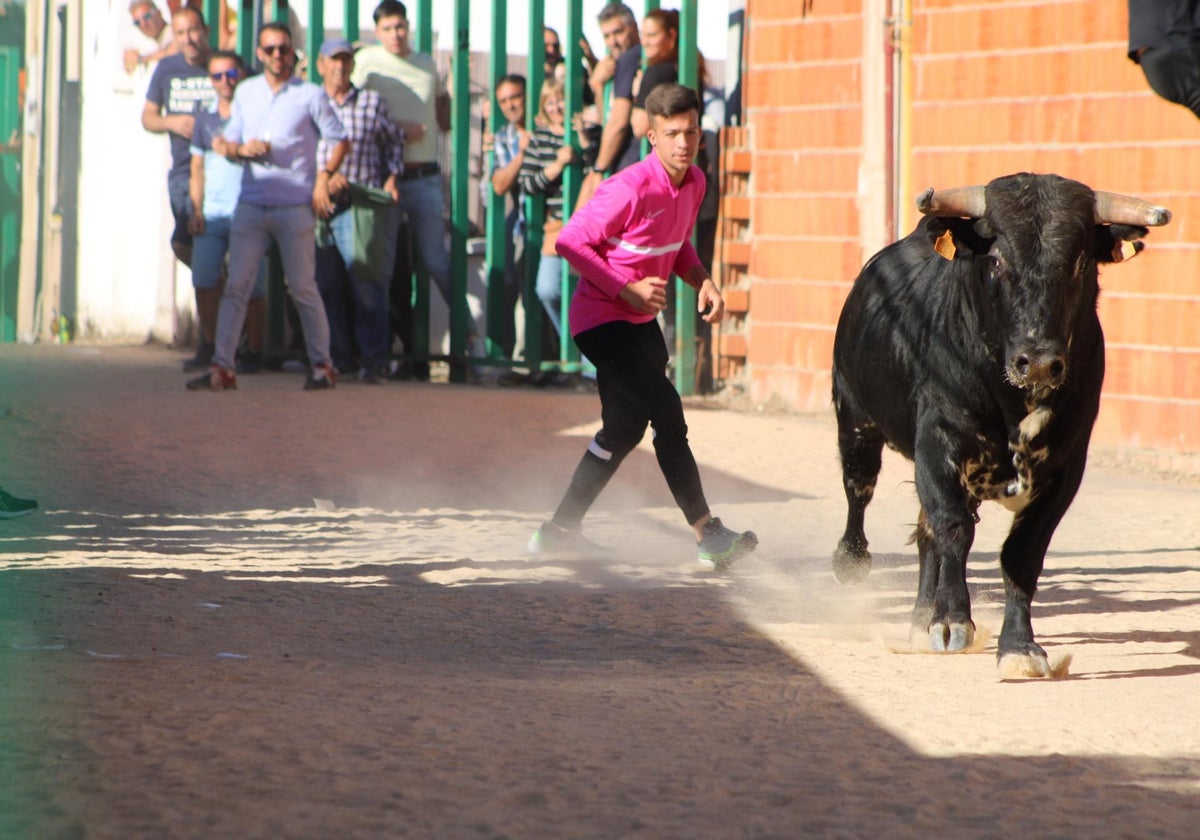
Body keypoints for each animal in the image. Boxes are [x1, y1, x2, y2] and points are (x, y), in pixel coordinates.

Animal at [830, 174, 1166, 681]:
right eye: (997, 259)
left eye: (1079, 261)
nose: (1040, 361)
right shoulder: (938, 443)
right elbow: (954, 531)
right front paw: (952, 622)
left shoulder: (1066, 467)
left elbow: (1020, 554)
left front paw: (1019, 648)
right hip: (855, 421)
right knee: (860, 493)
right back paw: (854, 564)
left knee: (926, 534)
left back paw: (918, 620)